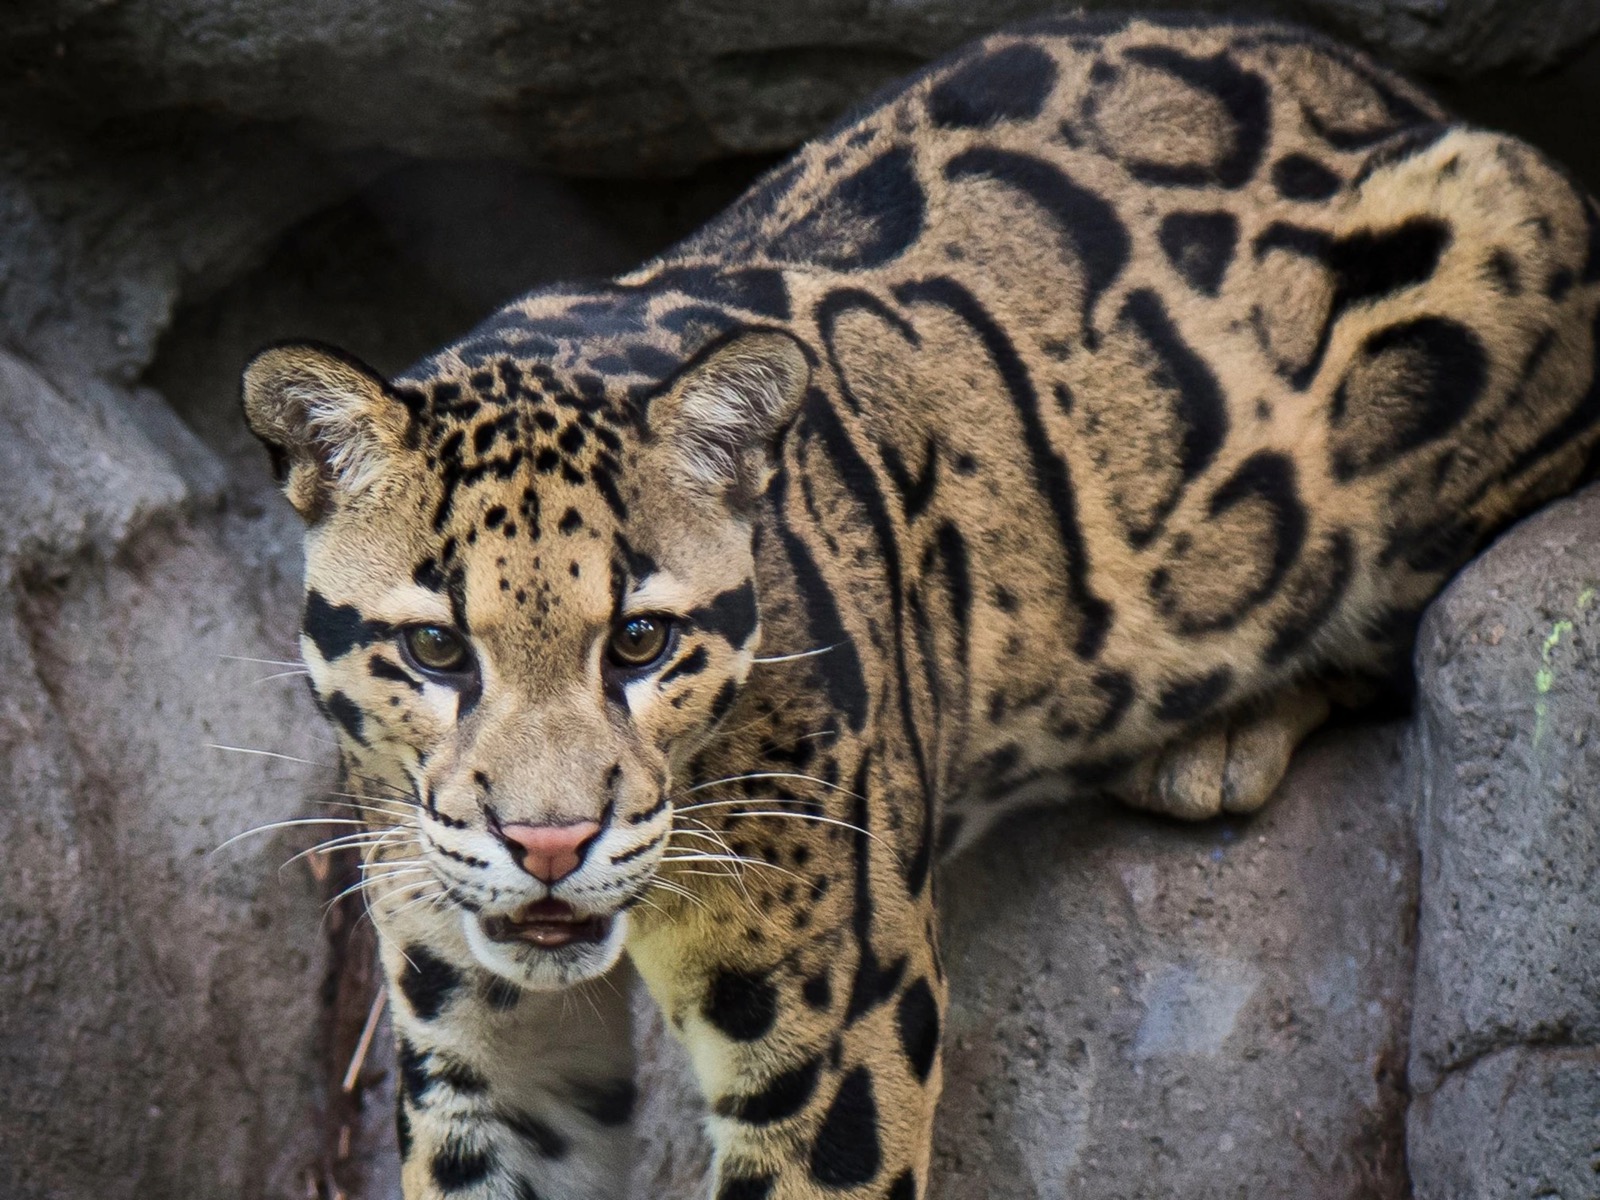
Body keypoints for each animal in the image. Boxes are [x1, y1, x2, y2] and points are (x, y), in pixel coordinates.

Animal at [241, 12, 1600, 1200]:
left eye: (640, 641)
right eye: (434, 648)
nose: (550, 846)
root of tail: (1389, 86)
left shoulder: (836, 1035)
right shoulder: (476, 1031)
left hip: (1490, 250)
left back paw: (1215, 740)